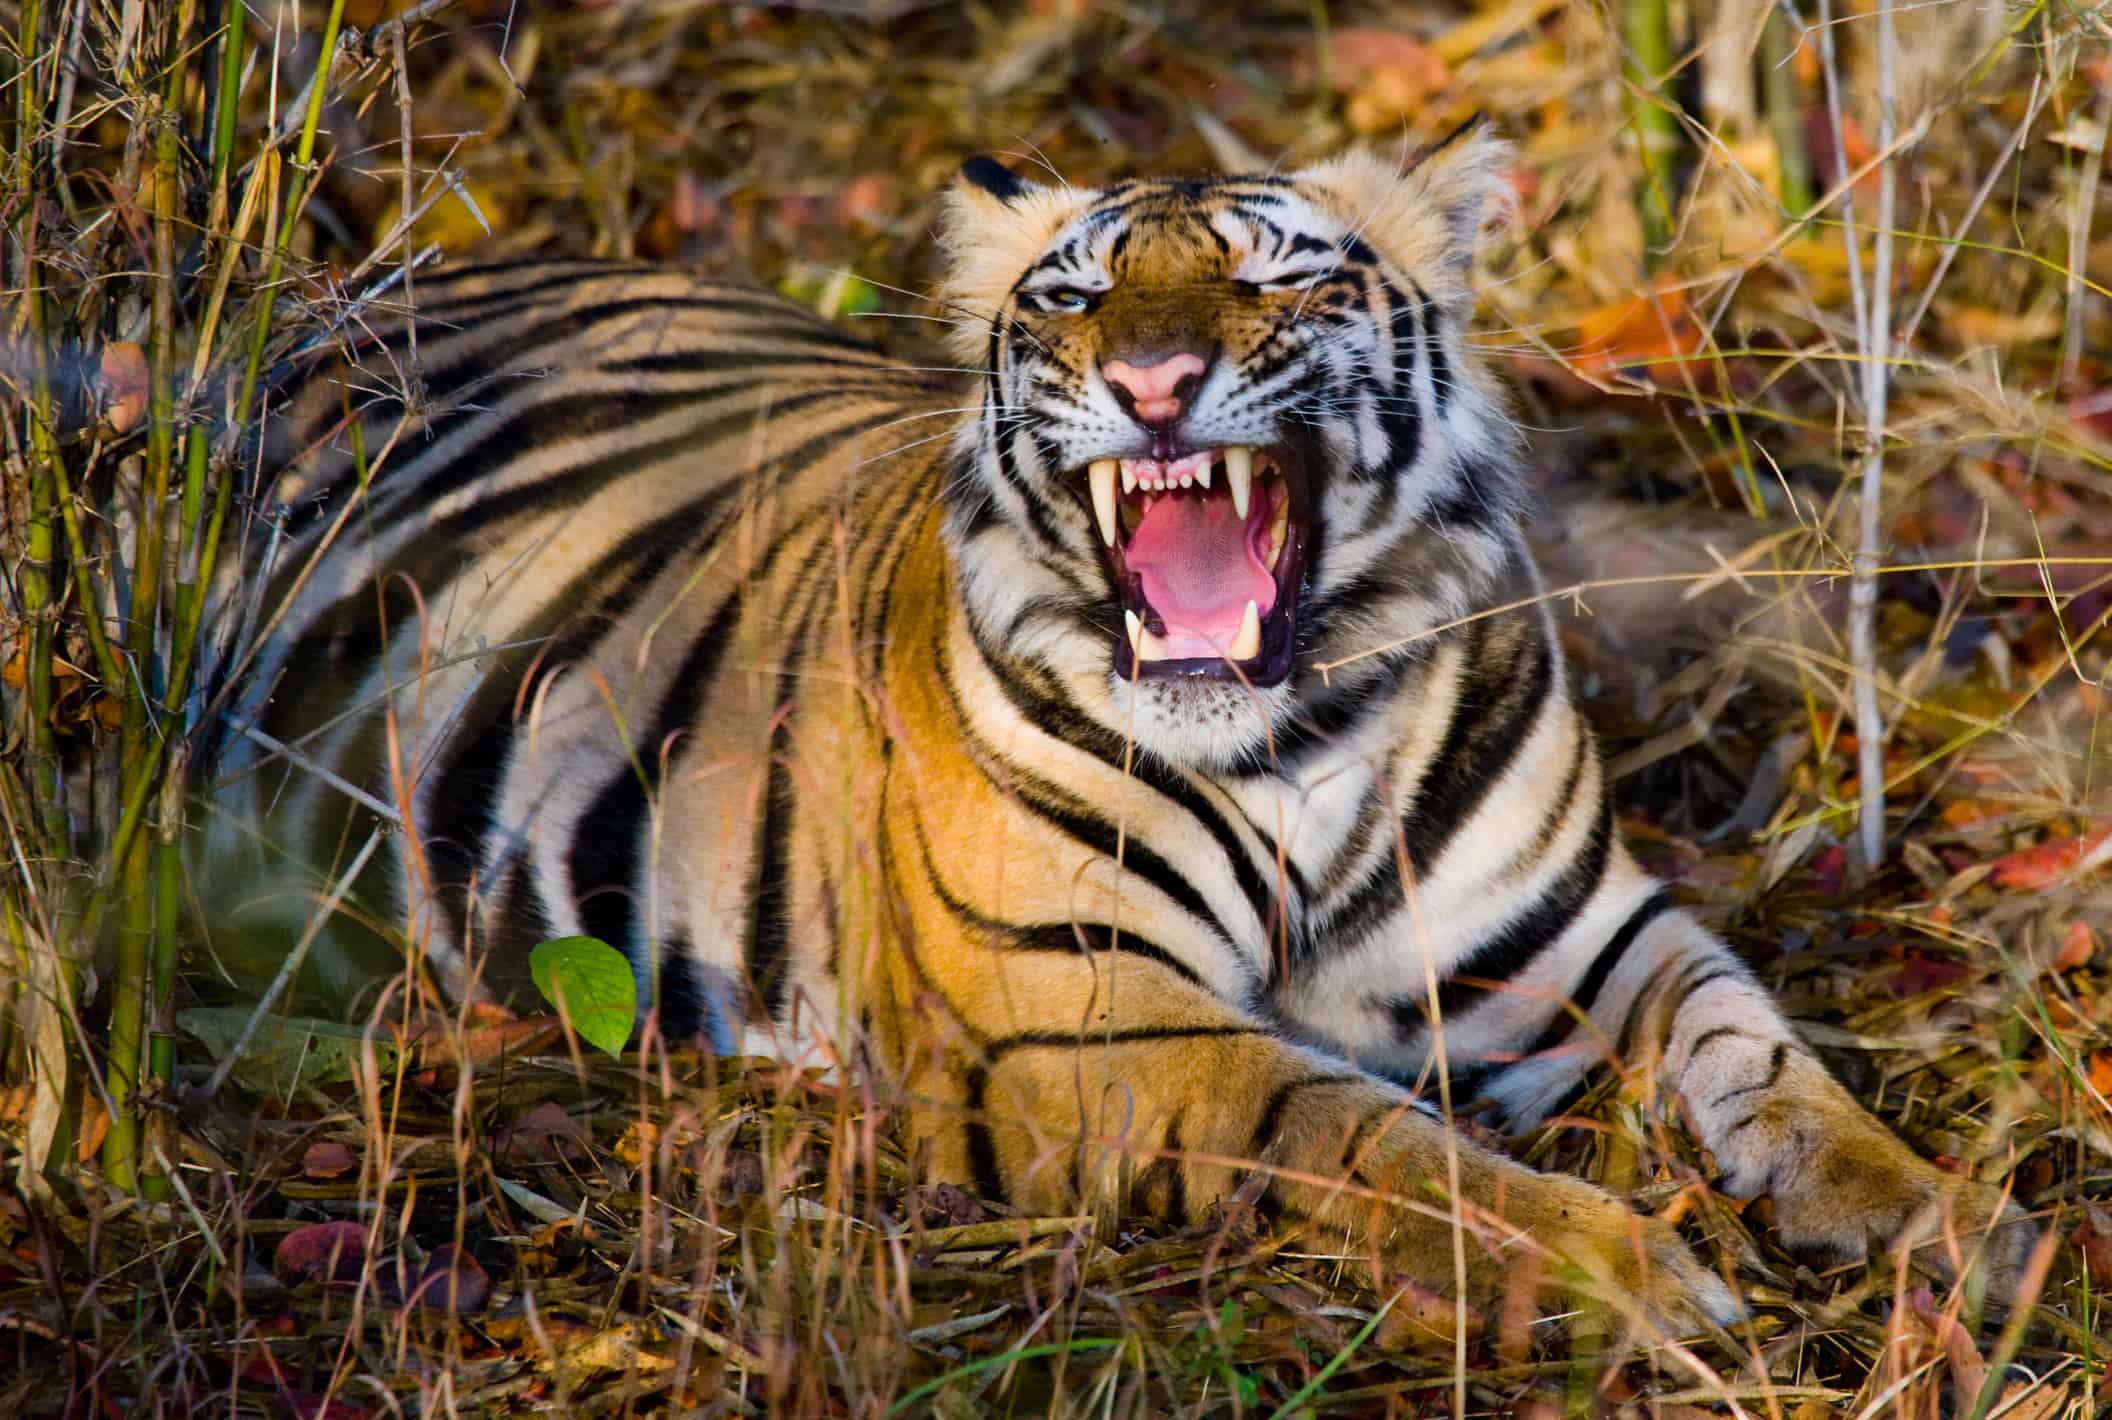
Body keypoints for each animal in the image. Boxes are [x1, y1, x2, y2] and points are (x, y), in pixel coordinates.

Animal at [200, 125, 2033, 1331]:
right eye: (1074, 300)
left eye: (1276, 275)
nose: (1153, 384)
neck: (1302, 733)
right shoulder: (1083, 1021)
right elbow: (1363, 1134)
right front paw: (1626, 1269)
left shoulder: (1585, 939)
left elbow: (1763, 1056)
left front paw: (1950, 1224)